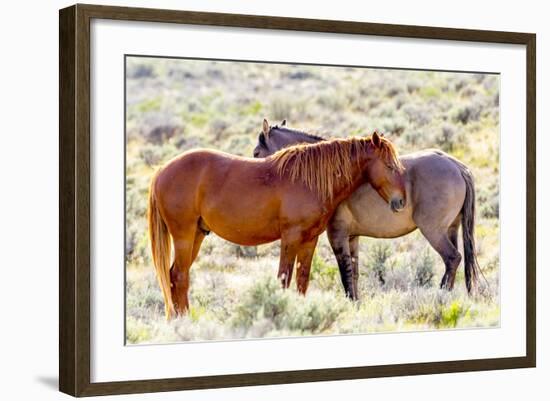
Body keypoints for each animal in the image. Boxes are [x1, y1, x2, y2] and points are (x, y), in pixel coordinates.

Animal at [149, 117, 408, 318]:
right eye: (389, 165)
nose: (400, 202)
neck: (307, 178)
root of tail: (162, 170)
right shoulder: (291, 237)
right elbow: (284, 278)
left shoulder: (310, 239)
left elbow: (302, 280)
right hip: (183, 235)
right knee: (180, 276)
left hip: (197, 235)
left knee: (175, 276)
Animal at [254, 120, 484, 298]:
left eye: (256, 153)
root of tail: (457, 166)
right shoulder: (352, 237)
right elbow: (354, 274)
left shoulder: (336, 235)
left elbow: (345, 274)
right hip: (451, 229)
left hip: (433, 231)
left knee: (452, 259)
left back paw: (440, 295)